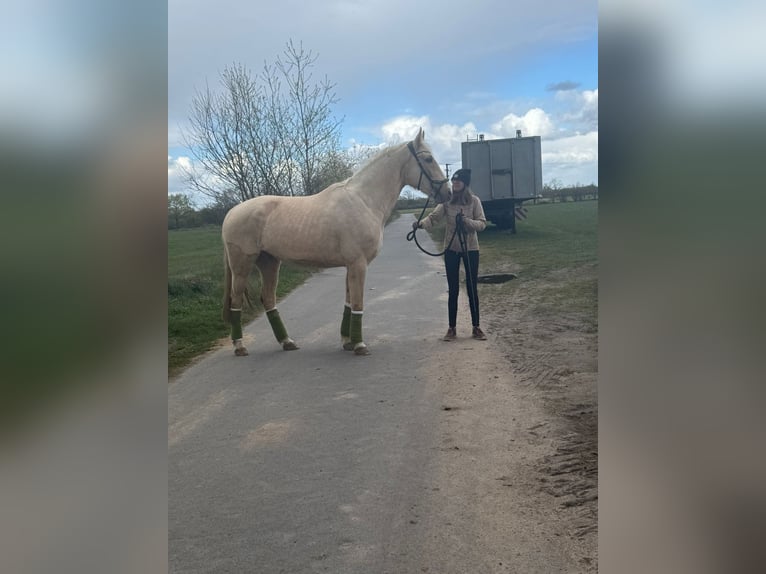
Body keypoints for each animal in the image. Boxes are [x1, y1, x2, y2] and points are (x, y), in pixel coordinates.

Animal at [221, 128, 450, 356]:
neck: (364, 200)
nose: (447, 193)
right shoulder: (358, 264)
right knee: (236, 300)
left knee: (268, 299)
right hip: (242, 265)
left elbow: (349, 302)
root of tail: (231, 212)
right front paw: (359, 345)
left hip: (269, 262)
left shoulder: (351, 265)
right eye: (428, 159)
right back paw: (240, 346)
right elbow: (357, 302)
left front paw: (347, 342)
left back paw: (287, 342)